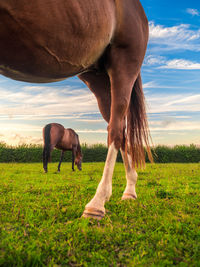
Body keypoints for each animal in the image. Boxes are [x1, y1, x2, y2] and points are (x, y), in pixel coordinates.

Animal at [0, 0, 152, 220]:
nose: (80, 168)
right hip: (97, 75)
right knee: (120, 128)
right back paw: (129, 190)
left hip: (124, 63)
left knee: (115, 130)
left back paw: (97, 203)